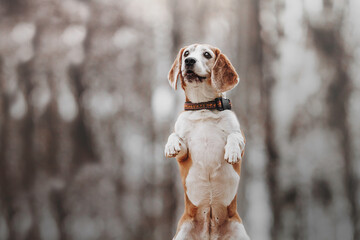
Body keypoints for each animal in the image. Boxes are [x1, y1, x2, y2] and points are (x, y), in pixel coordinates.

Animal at [164, 44, 250, 239]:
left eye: (207, 54)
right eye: (186, 53)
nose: (189, 61)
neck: (203, 107)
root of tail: (210, 231)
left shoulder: (241, 138)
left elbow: (234, 137)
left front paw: (231, 152)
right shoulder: (184, 154)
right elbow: (175, 136)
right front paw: (171, 145)